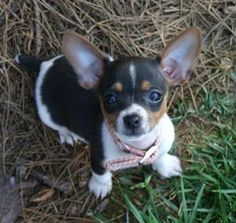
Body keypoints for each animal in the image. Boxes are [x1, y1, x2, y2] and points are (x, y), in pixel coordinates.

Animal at [15, 26, 202, 199]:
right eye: (110, 98)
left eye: (155, 96)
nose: (132, 119)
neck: (138, 148)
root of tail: (45, 65)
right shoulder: (98, 158)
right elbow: (100, 173)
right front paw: (100, 186)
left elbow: (160, 155)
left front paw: (165, 165)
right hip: (47, 114)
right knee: (59, 125)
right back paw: (67, 134)